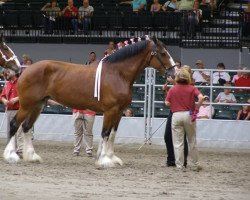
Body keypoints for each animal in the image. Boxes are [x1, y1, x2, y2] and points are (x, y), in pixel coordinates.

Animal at [1, 36, 175, 167]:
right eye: (163, 53)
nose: (173, 72)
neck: (117, 73)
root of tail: (24, 71)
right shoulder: (110, 111)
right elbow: (105, 133)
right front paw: (104, 160)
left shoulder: (119, 112)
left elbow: (113, 134)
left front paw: (112, 158)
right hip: (26, 105)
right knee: (14, 125)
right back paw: (11, 156)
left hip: (37, 105)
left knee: (26, 127)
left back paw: (32, 156)